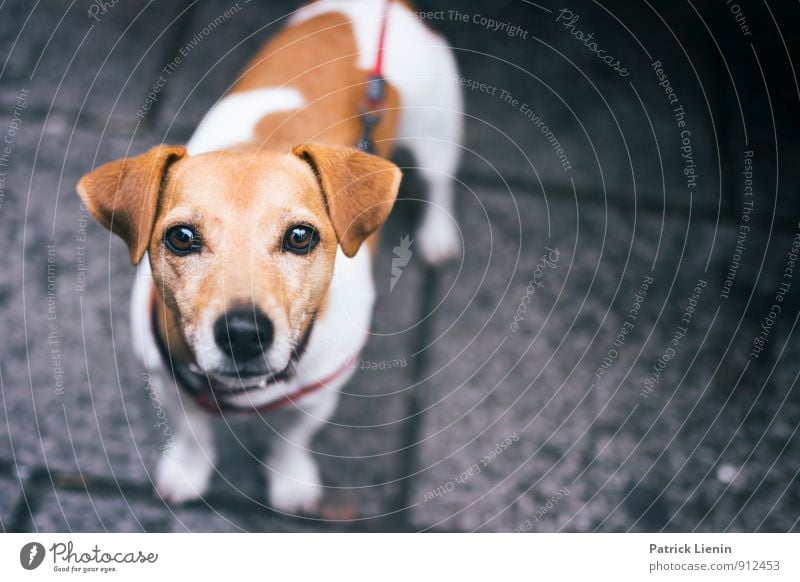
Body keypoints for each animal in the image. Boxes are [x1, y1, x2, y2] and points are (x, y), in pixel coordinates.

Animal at [76, 0, 462, 516]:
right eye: (181, 238)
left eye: (300, 236)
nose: (243, 333)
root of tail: (383, 8)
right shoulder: (167, 383)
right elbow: (192, 435)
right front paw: (187, 471)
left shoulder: (318, 397)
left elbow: (290, 441)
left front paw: (290, 480)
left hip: (438, 131)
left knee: (440, 183)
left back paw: (439, 234)